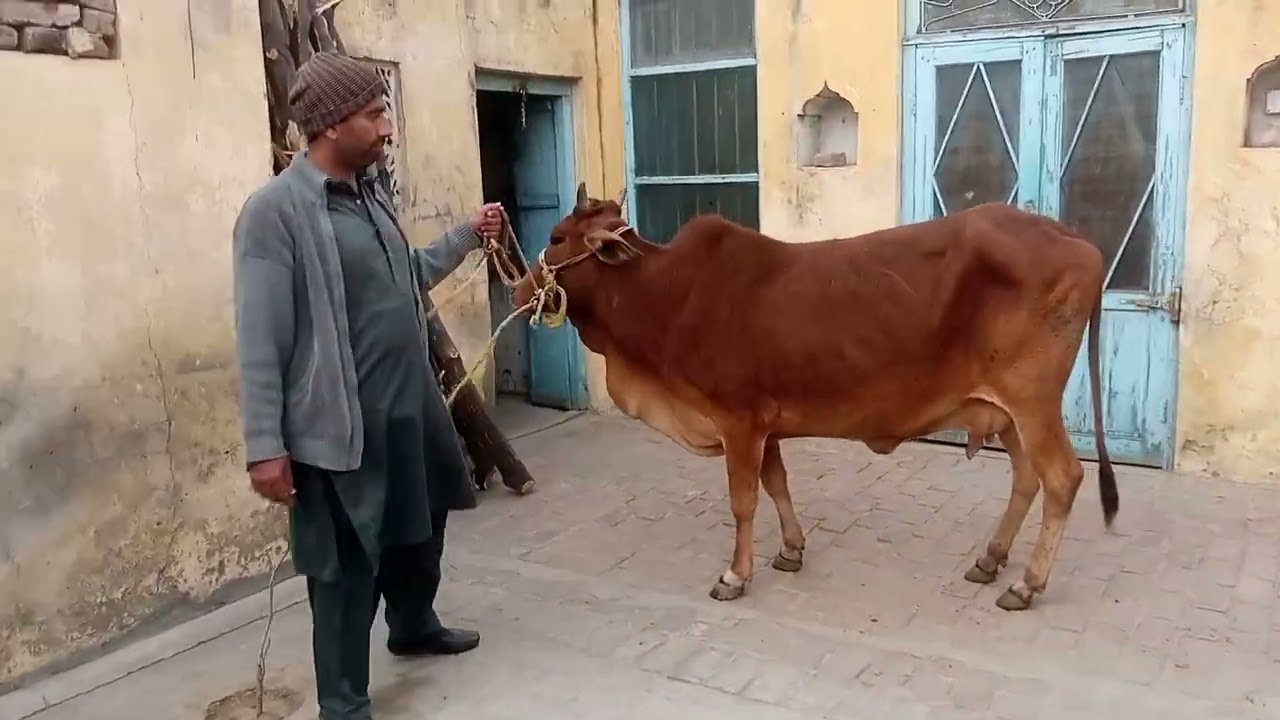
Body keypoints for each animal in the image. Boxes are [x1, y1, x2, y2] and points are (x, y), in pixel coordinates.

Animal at [512, 183, 1119, 612]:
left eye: (557, 238)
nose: (518, 286)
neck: (669, 295)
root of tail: (1078, 242)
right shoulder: (765, 424)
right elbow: (777, 484)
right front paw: (790, 550)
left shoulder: (737, 420)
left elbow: (743, 500)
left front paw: (735, 574)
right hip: (1006, 412)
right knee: (1026, 478)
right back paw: (991, 560)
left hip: (1033, 402)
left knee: (1063, 478)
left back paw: (1026, 584)